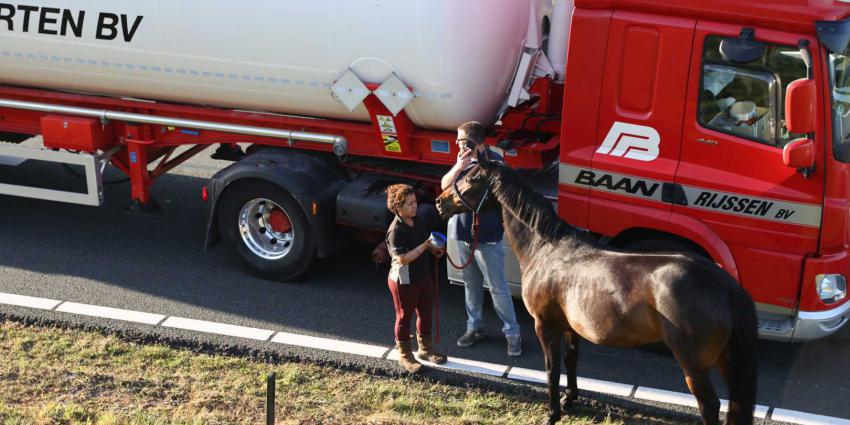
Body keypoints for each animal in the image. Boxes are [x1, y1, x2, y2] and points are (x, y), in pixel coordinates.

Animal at [435, 151, 758, 425]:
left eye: (471, 178)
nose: (440, 201)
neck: (547, 248)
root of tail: (727, 287)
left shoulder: (545, 325)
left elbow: (551, 368)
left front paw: (552, 413)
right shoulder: (569, 325)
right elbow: (571, 360)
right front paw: (569, 401)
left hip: (694, 364)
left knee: (710, 406)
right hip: (727, 360)